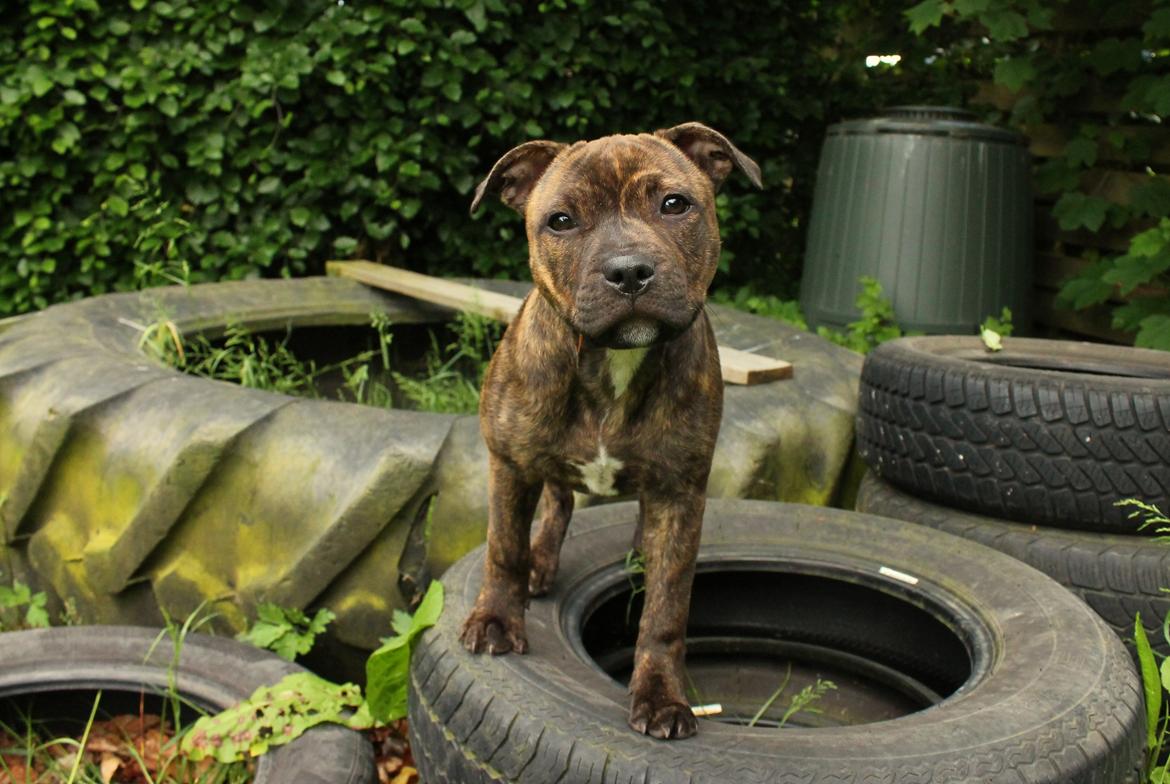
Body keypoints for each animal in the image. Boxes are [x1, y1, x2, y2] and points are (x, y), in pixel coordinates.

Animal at [460, 124, 762, 744]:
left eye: (674, 204)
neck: (612, 359)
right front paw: (496, 619)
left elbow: (667, 609)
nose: (628, 271)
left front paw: (661, 694)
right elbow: (503, 548)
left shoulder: (679, 491)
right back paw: (542, 563)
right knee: (556, 503)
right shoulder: (509, 463)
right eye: (560, 220)